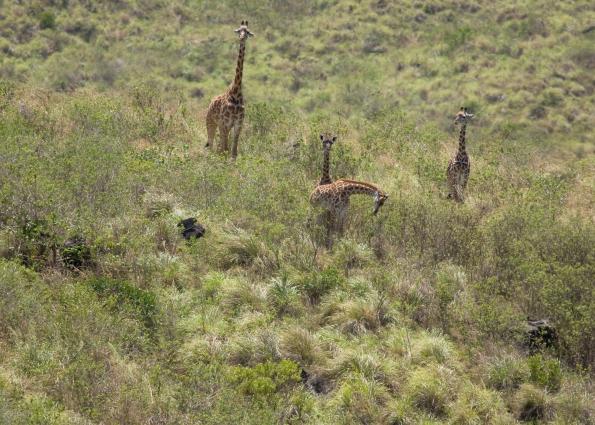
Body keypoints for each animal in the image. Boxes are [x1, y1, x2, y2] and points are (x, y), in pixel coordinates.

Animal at [205, 20, 254, 159]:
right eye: (238, 30)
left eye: (247, 32)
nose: (242, 38)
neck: (236, 93)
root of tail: (210, 103)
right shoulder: (225, 123)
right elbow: (225, 150)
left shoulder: (238, 124)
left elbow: (233, 152)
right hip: (211, 122)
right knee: (212, 145)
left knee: (219, 147)